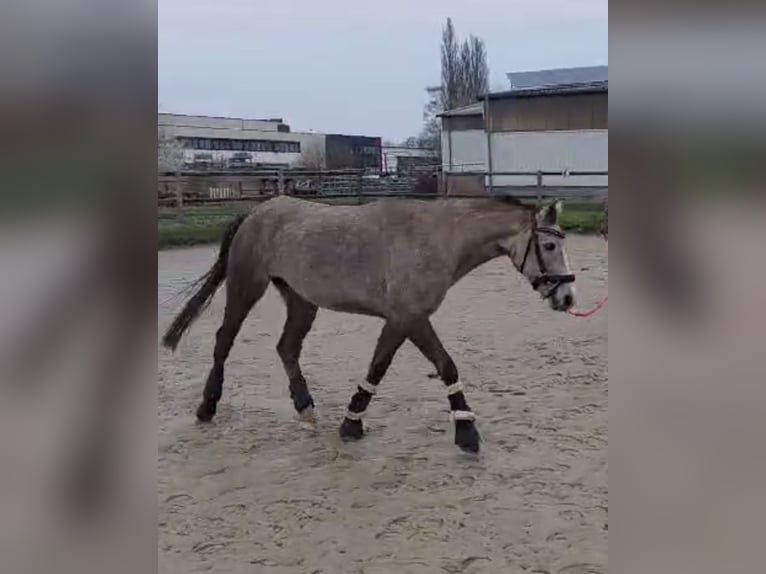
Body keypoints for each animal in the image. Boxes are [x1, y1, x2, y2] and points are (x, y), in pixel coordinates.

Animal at [165, 197, 580, 454]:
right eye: (549, 247)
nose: (568, 298)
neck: (438, 239)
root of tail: (256, 212)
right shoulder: (410, 317)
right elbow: (445, 365)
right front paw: (466, 431)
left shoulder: (400, 320)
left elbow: (377, 367)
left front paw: (351, 423)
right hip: (246, 286)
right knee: (224, 340)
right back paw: (207, 406)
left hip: (301, 300)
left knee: (287, 347)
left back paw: (305, 407)